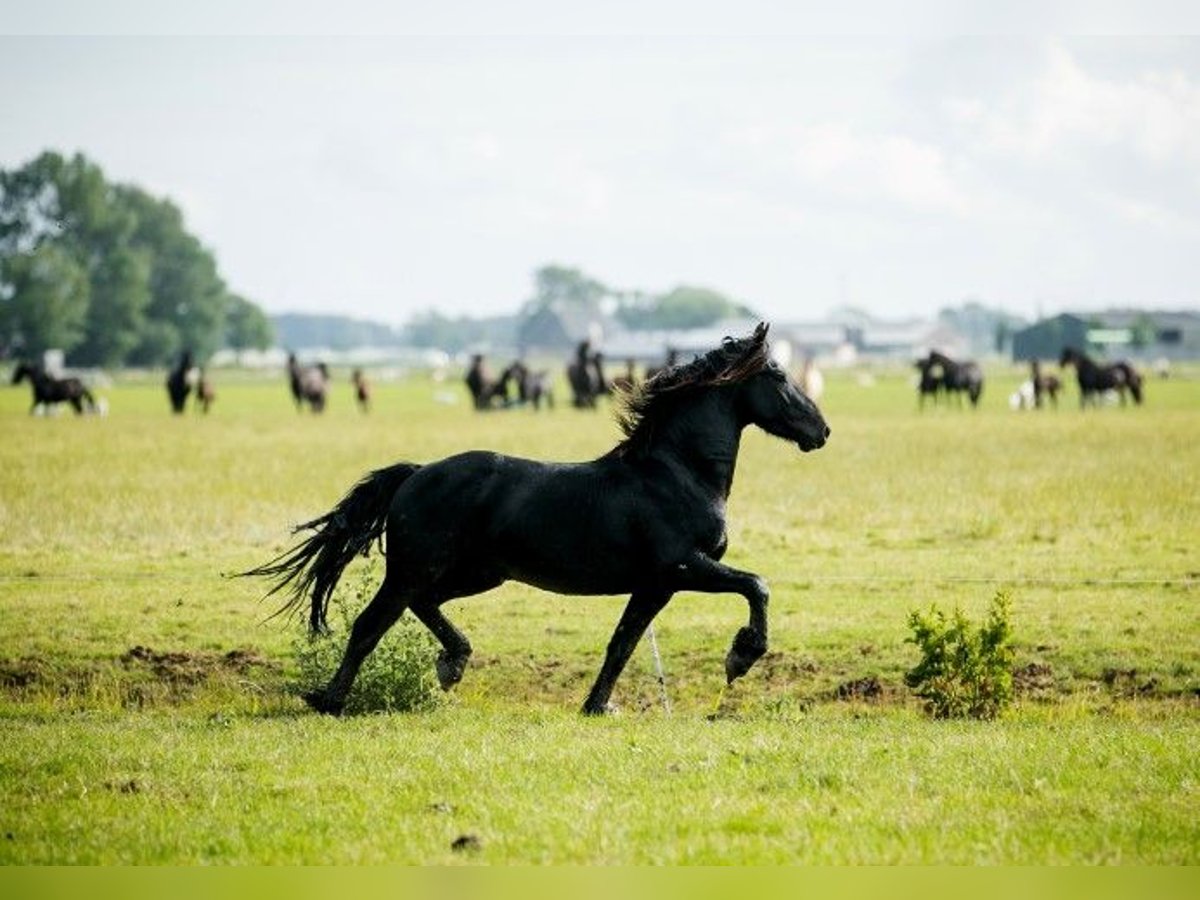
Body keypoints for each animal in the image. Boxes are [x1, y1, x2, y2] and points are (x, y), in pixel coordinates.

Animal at [240, 324, 830, 720]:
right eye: (778, 374)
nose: (821, 430)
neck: (675, 473)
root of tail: (416, 473)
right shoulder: (684, 566)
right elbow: (757, 585)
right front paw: (740, 657)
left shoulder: (655, 585)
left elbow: (622, 643)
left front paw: (597, 707)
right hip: (416, 569)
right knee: (370, 624)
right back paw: (330, 700)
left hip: (475, 574)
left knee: (420, 607)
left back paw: (452, 663)